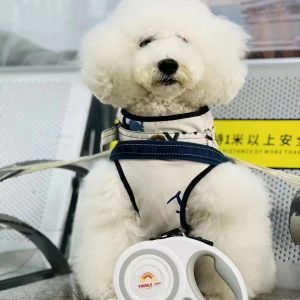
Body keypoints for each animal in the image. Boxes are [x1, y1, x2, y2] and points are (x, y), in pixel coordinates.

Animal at [71, 0, 276, 300]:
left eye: (184, 40)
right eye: (145, 41)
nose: (168, 63)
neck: (164, 140)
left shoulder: (221, 210)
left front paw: (221, 291)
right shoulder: (115, 209)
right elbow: (110, 246)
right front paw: (110, 290)